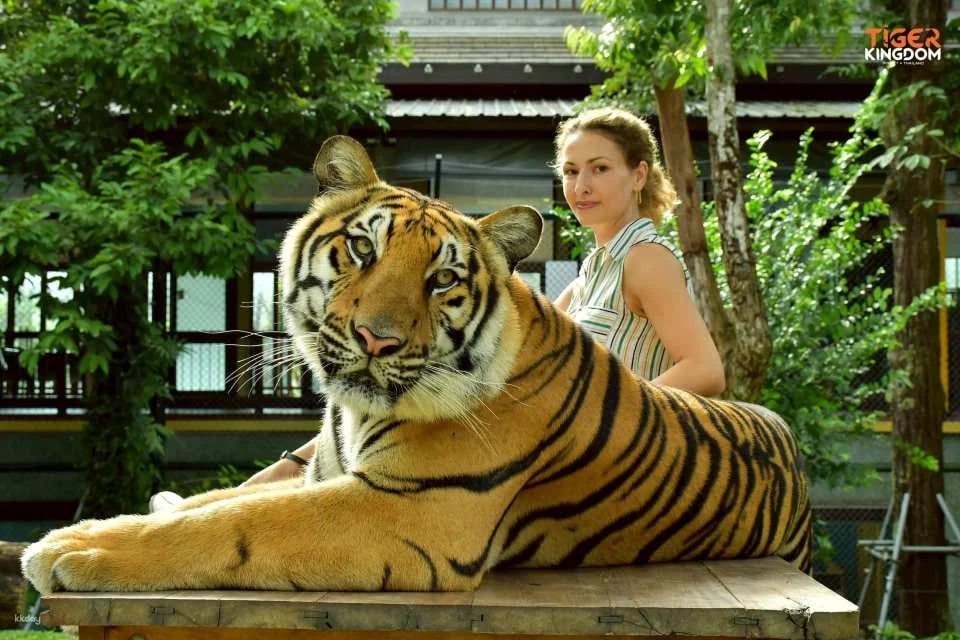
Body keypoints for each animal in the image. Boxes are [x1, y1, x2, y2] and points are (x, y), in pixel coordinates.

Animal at [22, 135, 811, 595]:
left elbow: (229, 525)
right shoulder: (325, 478)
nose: (377, 340)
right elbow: (214, 503)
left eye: (443, 280)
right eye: (362, 248)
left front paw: (75, 547)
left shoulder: (412, 511)